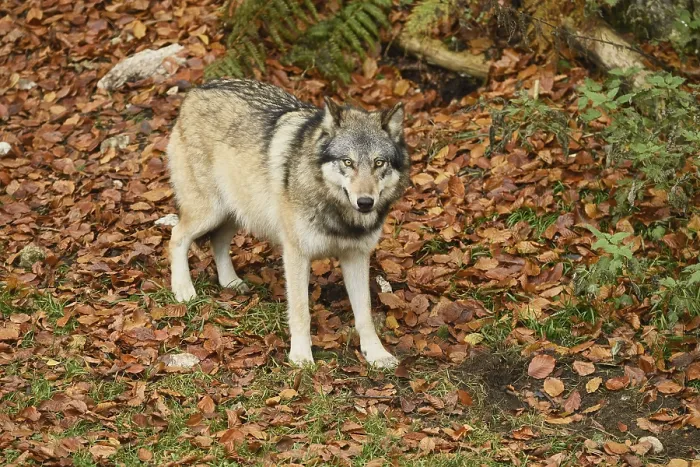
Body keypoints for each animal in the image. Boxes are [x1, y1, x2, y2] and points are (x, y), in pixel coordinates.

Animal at [166, 79, 410, 368]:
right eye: (347, 162)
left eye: (379, 162)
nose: (365, 202)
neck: (337, 214)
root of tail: (197, 89)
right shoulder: (296, 254)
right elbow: (301, 312)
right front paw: (301, 357)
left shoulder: (356, 255)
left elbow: (365, 315)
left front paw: (376, 354)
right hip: (209, 212)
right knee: (176, 235)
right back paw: (183, 289)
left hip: (237, 212)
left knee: (218, 241)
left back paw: (230, 282)